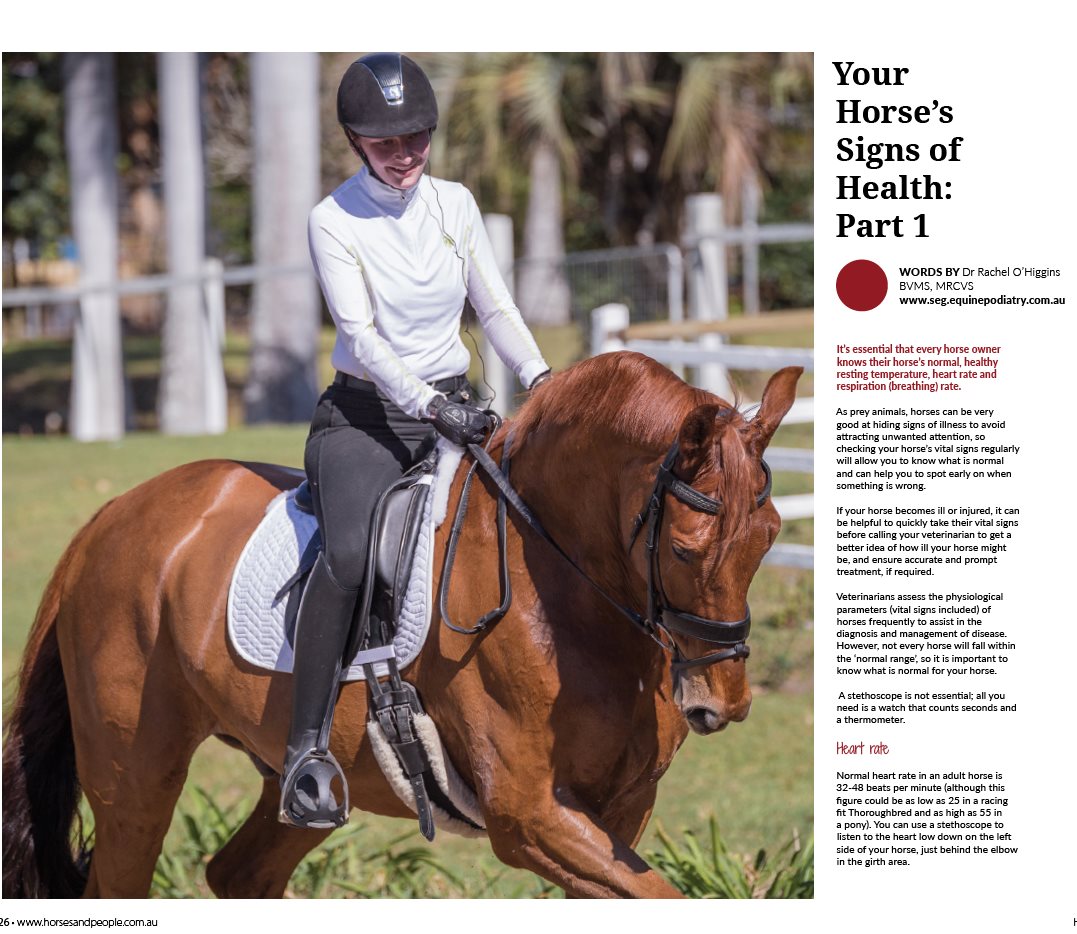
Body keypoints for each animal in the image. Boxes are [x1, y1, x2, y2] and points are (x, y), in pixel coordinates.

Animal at [2, 351, 802, 899]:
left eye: (769, 537)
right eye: (684, 549)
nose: (722, 702)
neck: (564, 593)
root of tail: (111, 517)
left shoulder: (622, 811)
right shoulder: (528, 818)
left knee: (239, 873)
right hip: (134, 779)